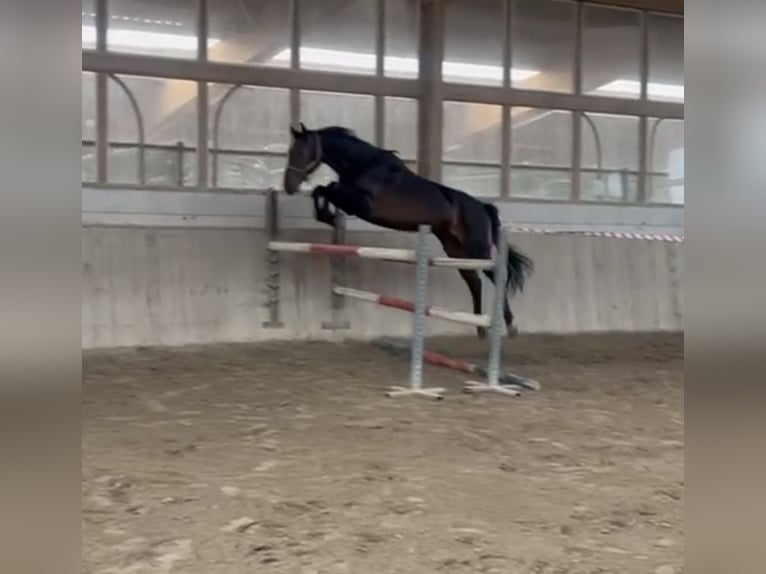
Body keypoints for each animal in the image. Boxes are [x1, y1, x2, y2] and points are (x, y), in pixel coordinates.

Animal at [282, 123, 533, 339]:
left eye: (301, 152)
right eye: (290, 151)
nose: (288, 186)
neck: (363, 165)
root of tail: (482, 207)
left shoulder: (362, 205)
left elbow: (327, 188)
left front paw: (327, 214)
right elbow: (323, 189)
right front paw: (327, 216)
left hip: (477, 251)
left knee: (496, 277)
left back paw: (510, 326)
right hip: (456, 251)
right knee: (475, 282)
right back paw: (481, 329)